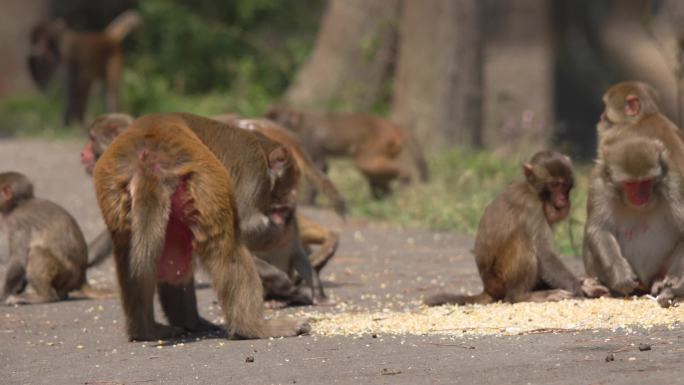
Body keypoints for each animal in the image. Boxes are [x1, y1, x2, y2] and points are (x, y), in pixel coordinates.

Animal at [0, 171, 112, 304]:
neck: (18, 204)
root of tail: (81, 278)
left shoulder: (17, 223)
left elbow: (18, 260)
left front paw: (4, 295)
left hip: (66, 274)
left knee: (36, 253)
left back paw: (45, 297)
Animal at [266, 105, 430, 201]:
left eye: (275, 121)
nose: (267, 130)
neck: (299, 123)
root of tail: (395, 126)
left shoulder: (309, 139)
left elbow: (319, 165)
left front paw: (306, 202)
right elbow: (322, 166)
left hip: (383, 141)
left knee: (364, 164)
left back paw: (404, 179)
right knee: (369, 170)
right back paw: (384, 197)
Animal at [424, 152, 608, 304]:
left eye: (564, 185)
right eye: (554, 185)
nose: (563, 199)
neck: (533, 190)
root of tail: (487, 288)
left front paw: (584, 284)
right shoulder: (531, 207)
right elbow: (544, 253)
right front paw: (576, 288)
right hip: (500, 281)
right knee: (523, 242)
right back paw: (522, 296)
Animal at [584, 137, 684, 306]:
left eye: (647, 181)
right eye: (630, 183)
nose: (641, 196)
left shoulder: (674, 184)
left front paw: (674, 279)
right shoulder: (598, 186)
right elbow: (599, 230)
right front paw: (621, 275)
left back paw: (663, 287)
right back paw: (600, 289)